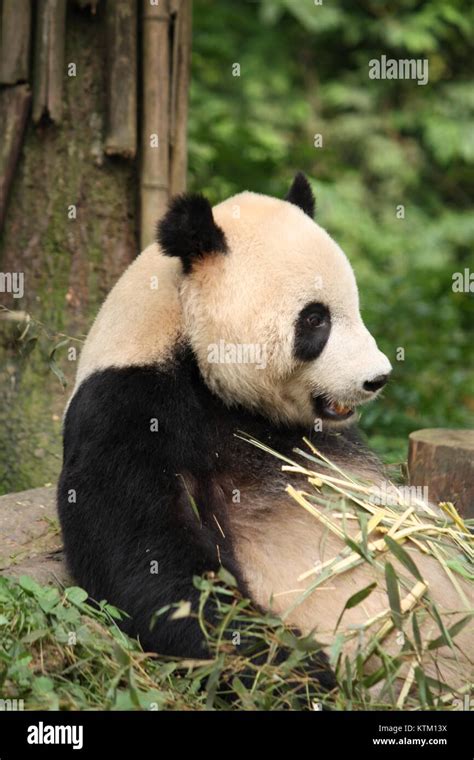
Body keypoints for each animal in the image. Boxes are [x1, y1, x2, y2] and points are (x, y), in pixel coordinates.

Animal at [58, 175, 470, 696]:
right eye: (315, 318)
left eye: (353, 307)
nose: (377, 378)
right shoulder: (128, 409)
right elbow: (153, 565)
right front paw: (303, 672)